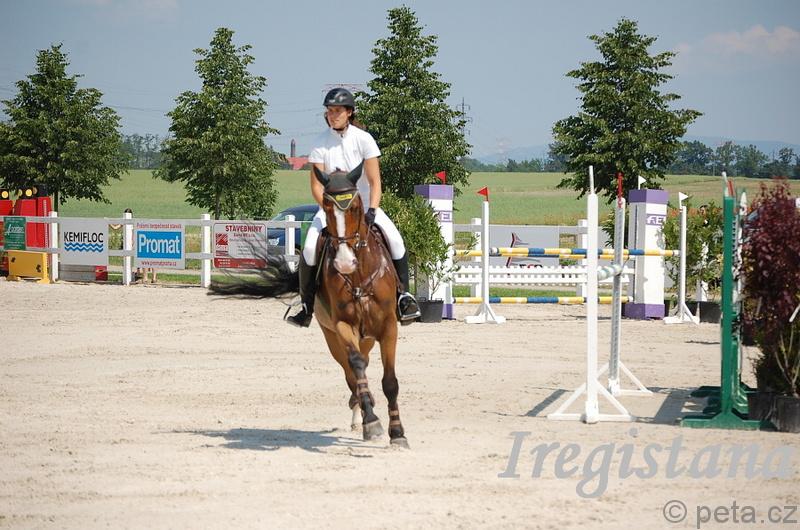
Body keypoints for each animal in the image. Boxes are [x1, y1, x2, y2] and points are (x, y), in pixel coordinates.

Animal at [210, 163, 409, 448]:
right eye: (326, 207)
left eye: (356, 208)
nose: (345, 262)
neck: (358, 275)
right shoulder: (342, 325)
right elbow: (356, 366)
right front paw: (371, 421)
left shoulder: (388, 326)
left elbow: (390, 381)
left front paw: (398, 433)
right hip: (333, 336)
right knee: (352, 371)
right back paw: (360, 411)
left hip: (368, 335)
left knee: (364, 364)